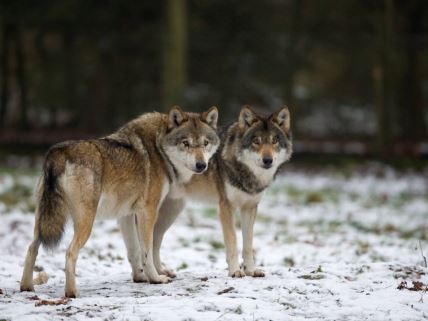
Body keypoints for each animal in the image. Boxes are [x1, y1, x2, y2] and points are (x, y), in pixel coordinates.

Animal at [19, 105, 221, 298]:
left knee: (31, 248)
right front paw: (155, 278)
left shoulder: (127, 215)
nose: (201, 165)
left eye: (205, 143)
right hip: (85, 222)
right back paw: (72, 292)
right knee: (70, 252)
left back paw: (27, 288)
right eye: (186, 143)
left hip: (43, 222)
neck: (159, 148)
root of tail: (58, 152)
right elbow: (147, 250)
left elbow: (134, 251)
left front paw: (140, 277)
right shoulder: (148, 211)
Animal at [149, 105, 292, 278]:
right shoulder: (226, 207)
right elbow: (232, 241)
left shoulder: (249, 207)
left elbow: (248, 244)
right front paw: (235, 271)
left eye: (274, 141)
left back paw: (161, 271)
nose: (268, 160)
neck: (247, 174)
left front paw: (251, 270)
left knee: (155, 240)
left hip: (172, 211)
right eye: (256, 141)